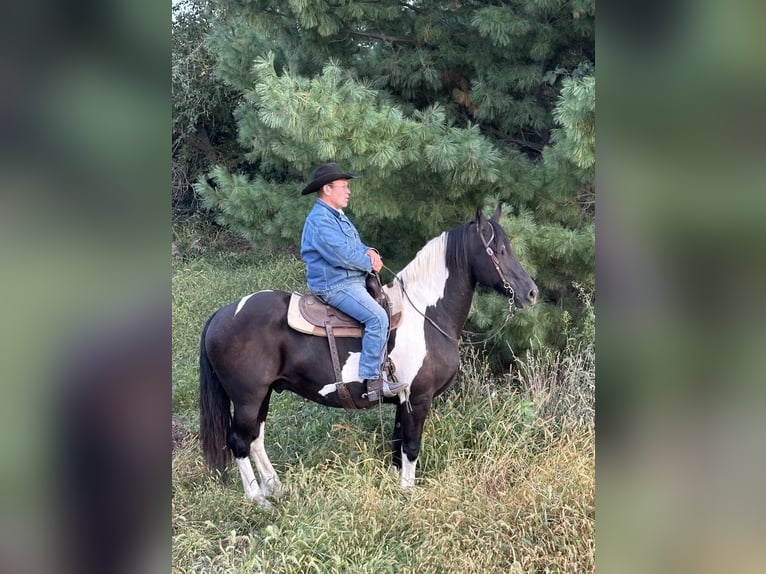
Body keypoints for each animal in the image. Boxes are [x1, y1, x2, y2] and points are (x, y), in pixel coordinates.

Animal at [201, 206, 544, 508]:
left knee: (256, 439)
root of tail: (221, 314)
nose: (531, 293)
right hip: (248, 398)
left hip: (264, 394)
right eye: (498, 249)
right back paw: (258, 498)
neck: (426, 314)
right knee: (239, 441)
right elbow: (411, 446)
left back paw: (276, 487)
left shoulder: (403, 401)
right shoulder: (418, 398)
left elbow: (397, 447)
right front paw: (408, 493)